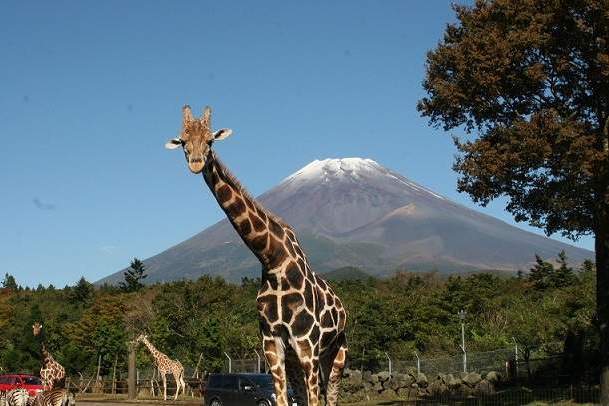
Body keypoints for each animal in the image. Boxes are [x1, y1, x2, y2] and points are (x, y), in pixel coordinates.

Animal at [165, 105, 346, 406]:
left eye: (210, 141)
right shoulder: (272, 341)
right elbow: (283, 399)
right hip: (297, 357)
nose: (196, 162)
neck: (272, 259)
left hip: (336, 350)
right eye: (183, 142)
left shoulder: (307, 343)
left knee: (329, 396)